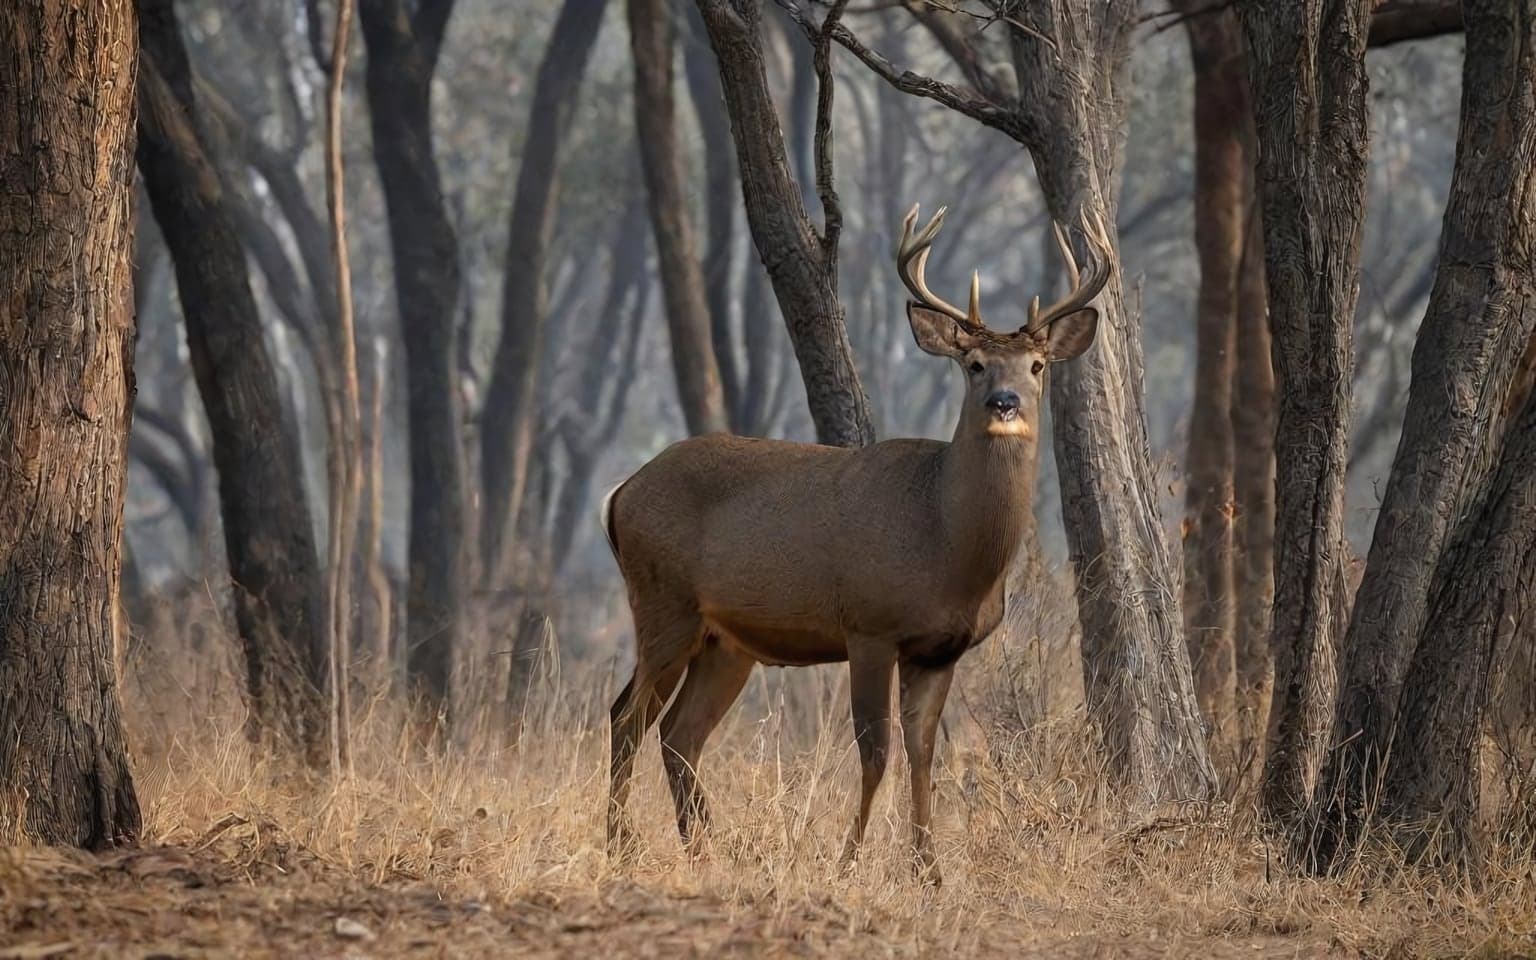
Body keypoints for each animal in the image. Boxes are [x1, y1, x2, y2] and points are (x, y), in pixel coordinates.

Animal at [601, 203, 1113, 883]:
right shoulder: (871, 626)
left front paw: (929, 870)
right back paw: (621, 848)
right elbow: (876, 751)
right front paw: (849, 861)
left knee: (678, 733)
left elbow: (923, 752)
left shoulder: (941, 650)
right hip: (663, 602)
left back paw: (706, 851)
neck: (946, 543)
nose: (1004, 403)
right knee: (627, 718)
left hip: (725, 641)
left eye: (1037, 365)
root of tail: (619, 493)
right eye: (974, 364)